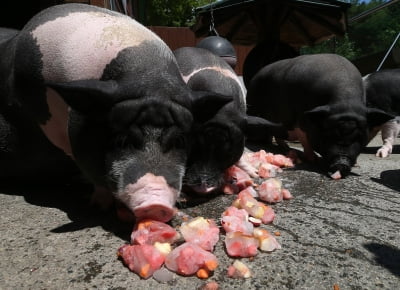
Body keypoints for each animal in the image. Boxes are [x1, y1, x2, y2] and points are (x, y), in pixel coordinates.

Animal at [245, 53, 392, 178]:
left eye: (360, 137)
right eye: (328, 134)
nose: (342, 163)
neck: (345, 104)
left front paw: (356, 165)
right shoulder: (300, 120)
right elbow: (305, 139)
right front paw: (313, 160)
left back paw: (285, 147)